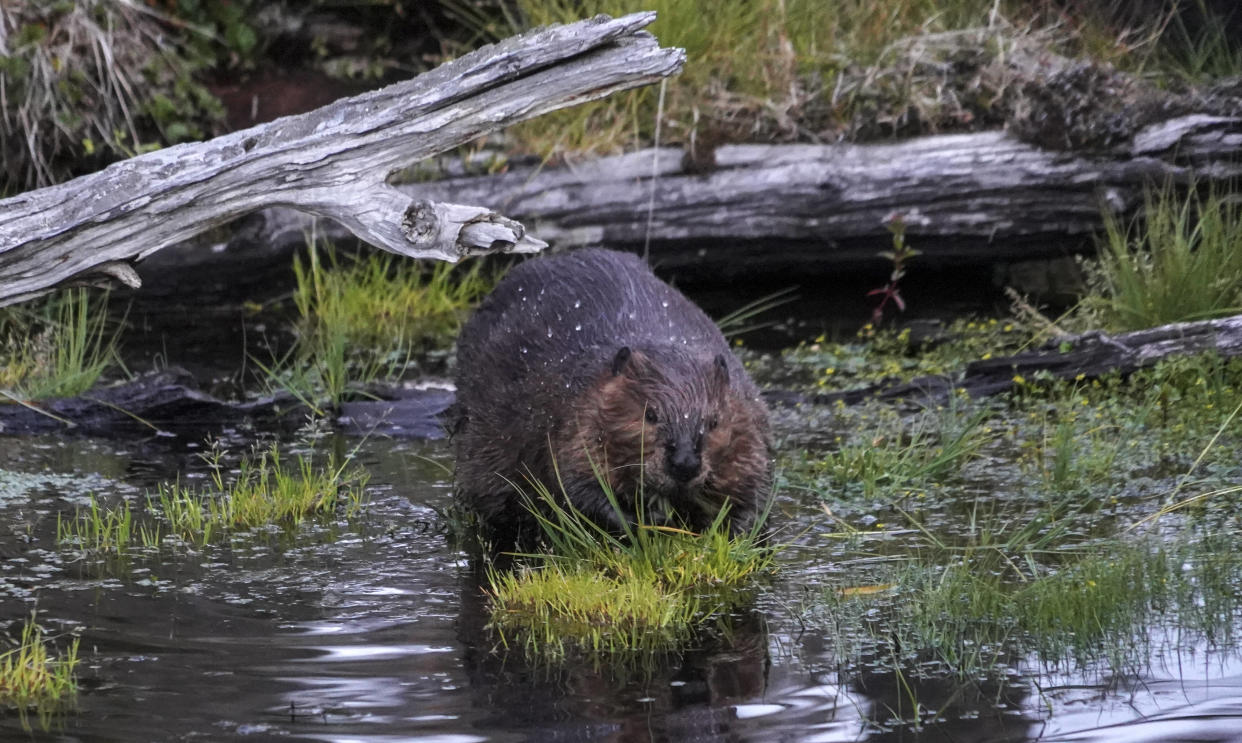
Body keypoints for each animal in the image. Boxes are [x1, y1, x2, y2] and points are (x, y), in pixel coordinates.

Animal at [452, 247, 770, 544]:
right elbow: (575, 489)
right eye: (650, 415)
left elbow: (755, 492)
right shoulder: (573, 416)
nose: (684, 463)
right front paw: (650, 520)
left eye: (714, 422)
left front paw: (731, 531)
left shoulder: (747, 418)